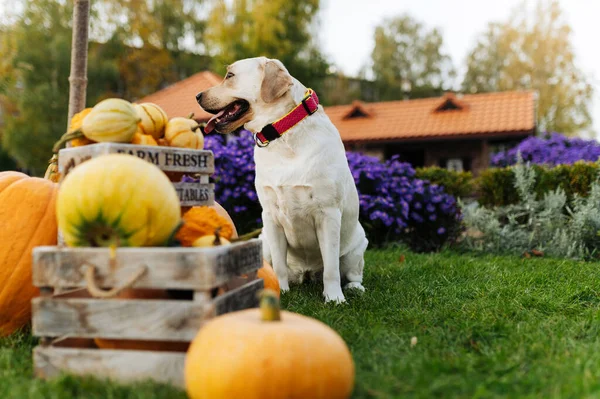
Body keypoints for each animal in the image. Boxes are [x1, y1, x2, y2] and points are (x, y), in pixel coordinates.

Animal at [198, 55, 366, 300]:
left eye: (229, 76)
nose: (197, 96)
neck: (282, 134)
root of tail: (307, 274)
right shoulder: (270, 216)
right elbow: (278, 266)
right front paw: (281, 290)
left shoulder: (329, 214)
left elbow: (332, 268)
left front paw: (334, 298)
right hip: (263, 240)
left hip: (358, 244)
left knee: (351, 271)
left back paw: (354, 288)